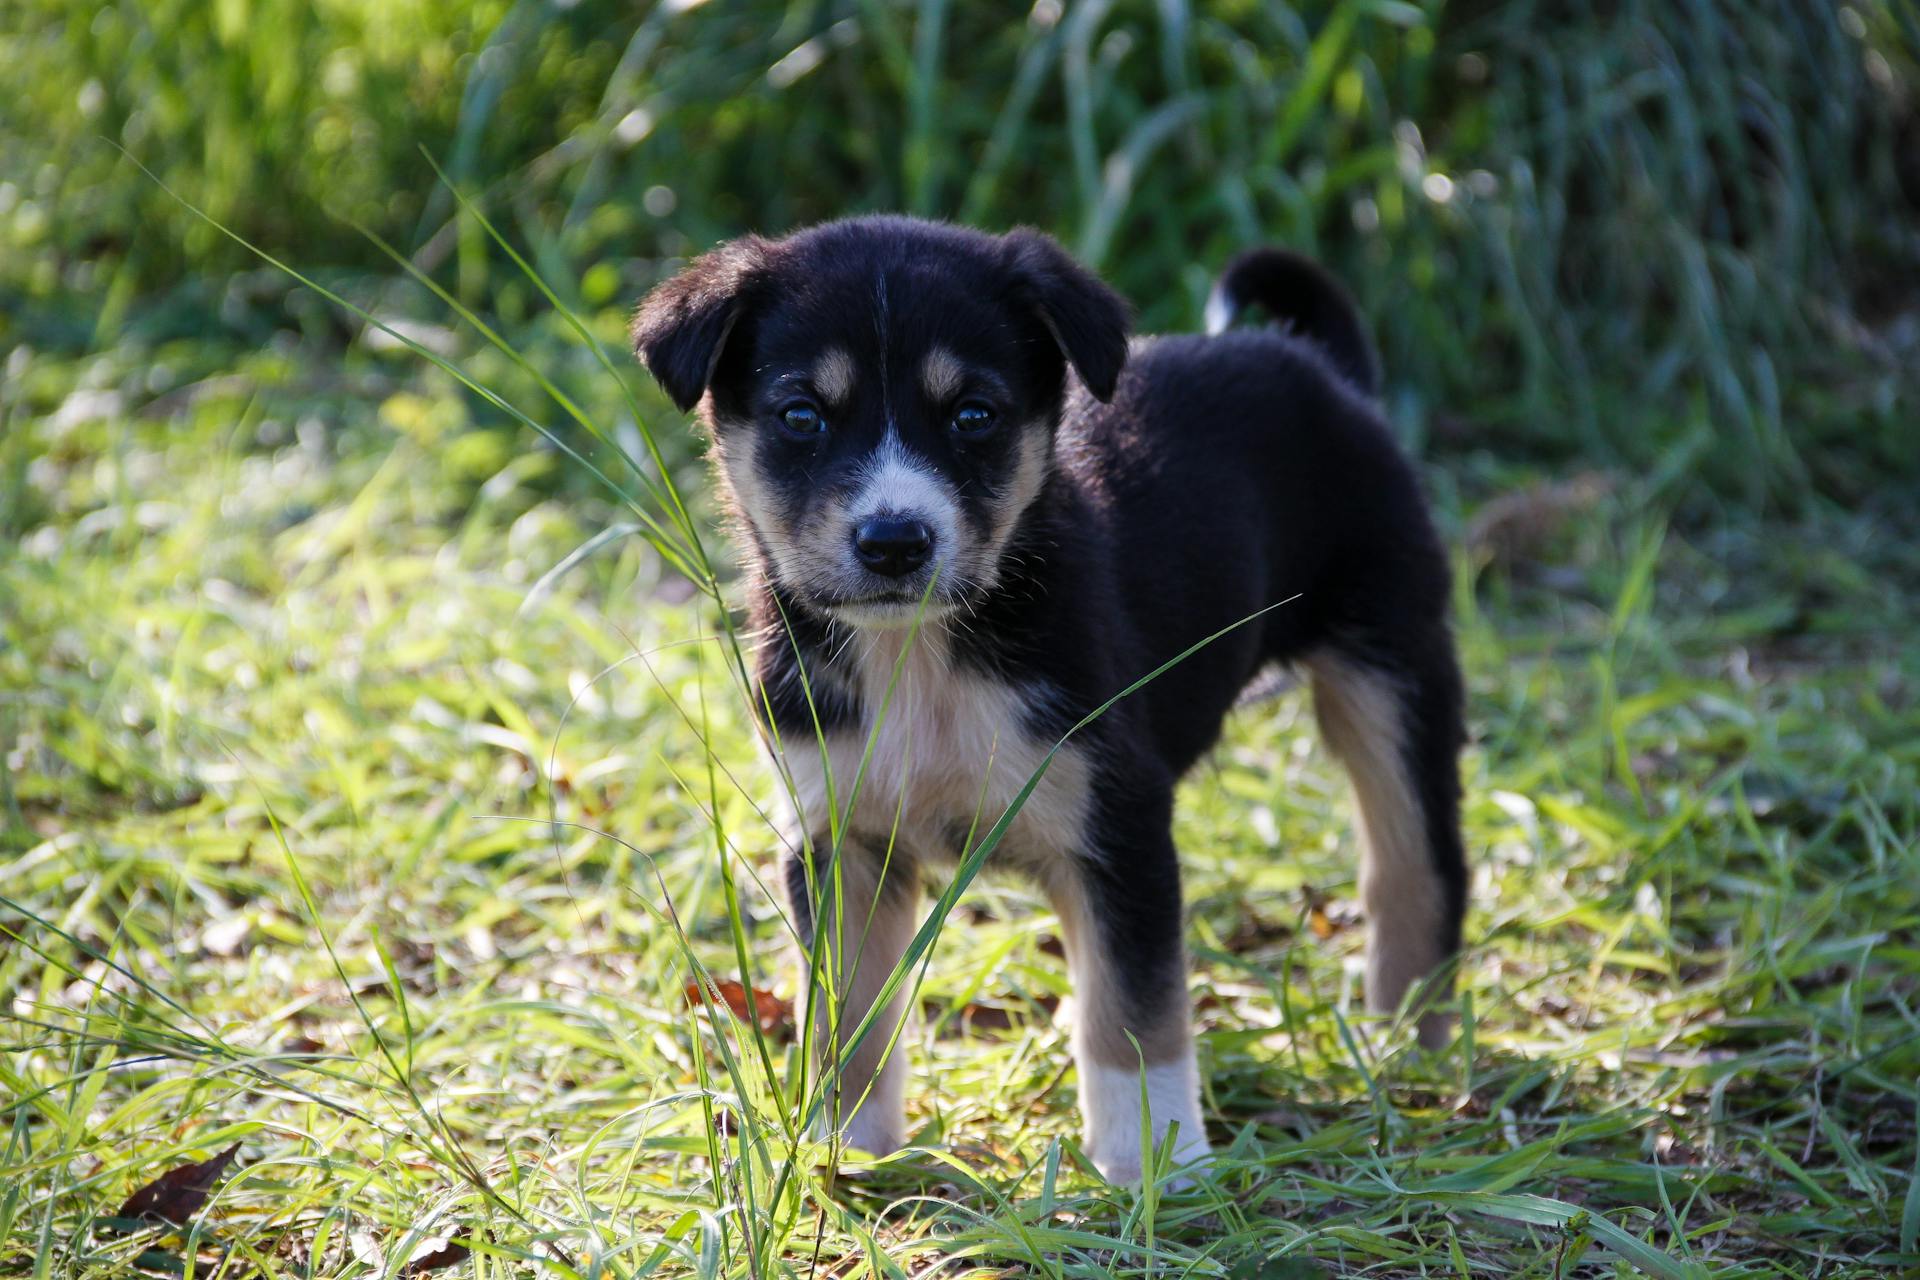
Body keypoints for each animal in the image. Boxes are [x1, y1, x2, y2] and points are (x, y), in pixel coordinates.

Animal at [633, 214, 1466, 1189]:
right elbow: (849, 1016)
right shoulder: (841, 838)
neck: (925, 656)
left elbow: (1133, 1015)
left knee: (1415, 863)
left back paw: (1410, 1047)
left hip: (1392, 662)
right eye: (801, 416)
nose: (895, 541)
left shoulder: (1119, 824)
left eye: (974, 415)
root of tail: (1319, 370)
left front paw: (1154, 1161)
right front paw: (852, 1148)